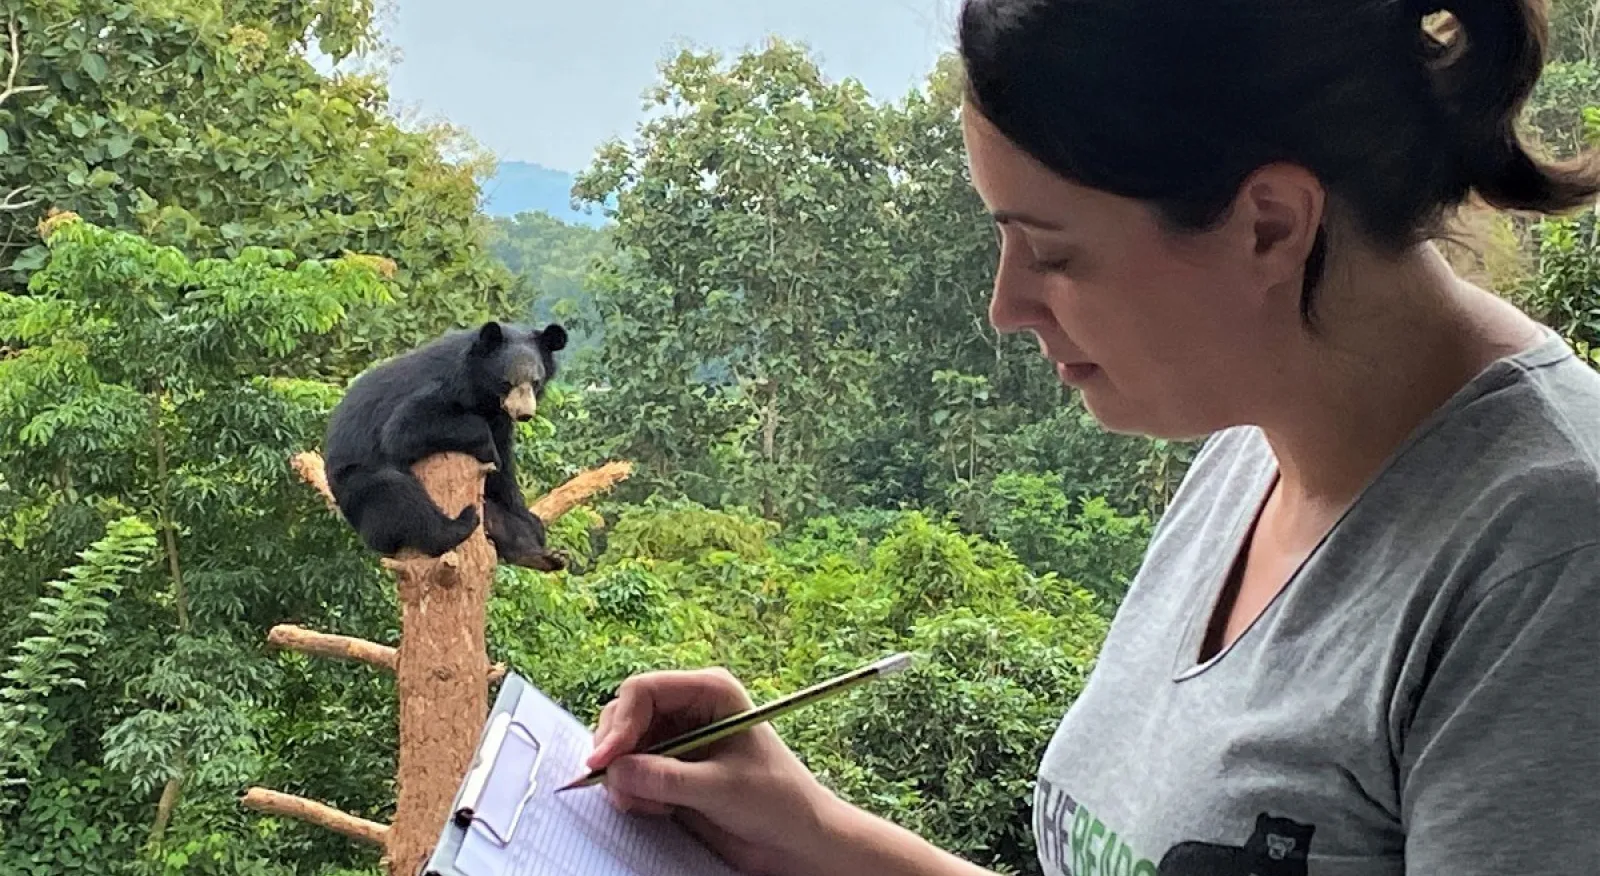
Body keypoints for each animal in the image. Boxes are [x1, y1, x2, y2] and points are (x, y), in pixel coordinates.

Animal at [323, 318, 569, 572]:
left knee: (497, 517)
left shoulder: (500, 417)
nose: (524, 414)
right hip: (357, 489)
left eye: (535, 382)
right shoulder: (445, 388)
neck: (483, 391)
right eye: (506, 382)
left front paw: (531, 520)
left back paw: (541, 555)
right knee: (397, 494)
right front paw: (489, 451)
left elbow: (504, 472)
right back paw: (460, 524)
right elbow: (402, 429)